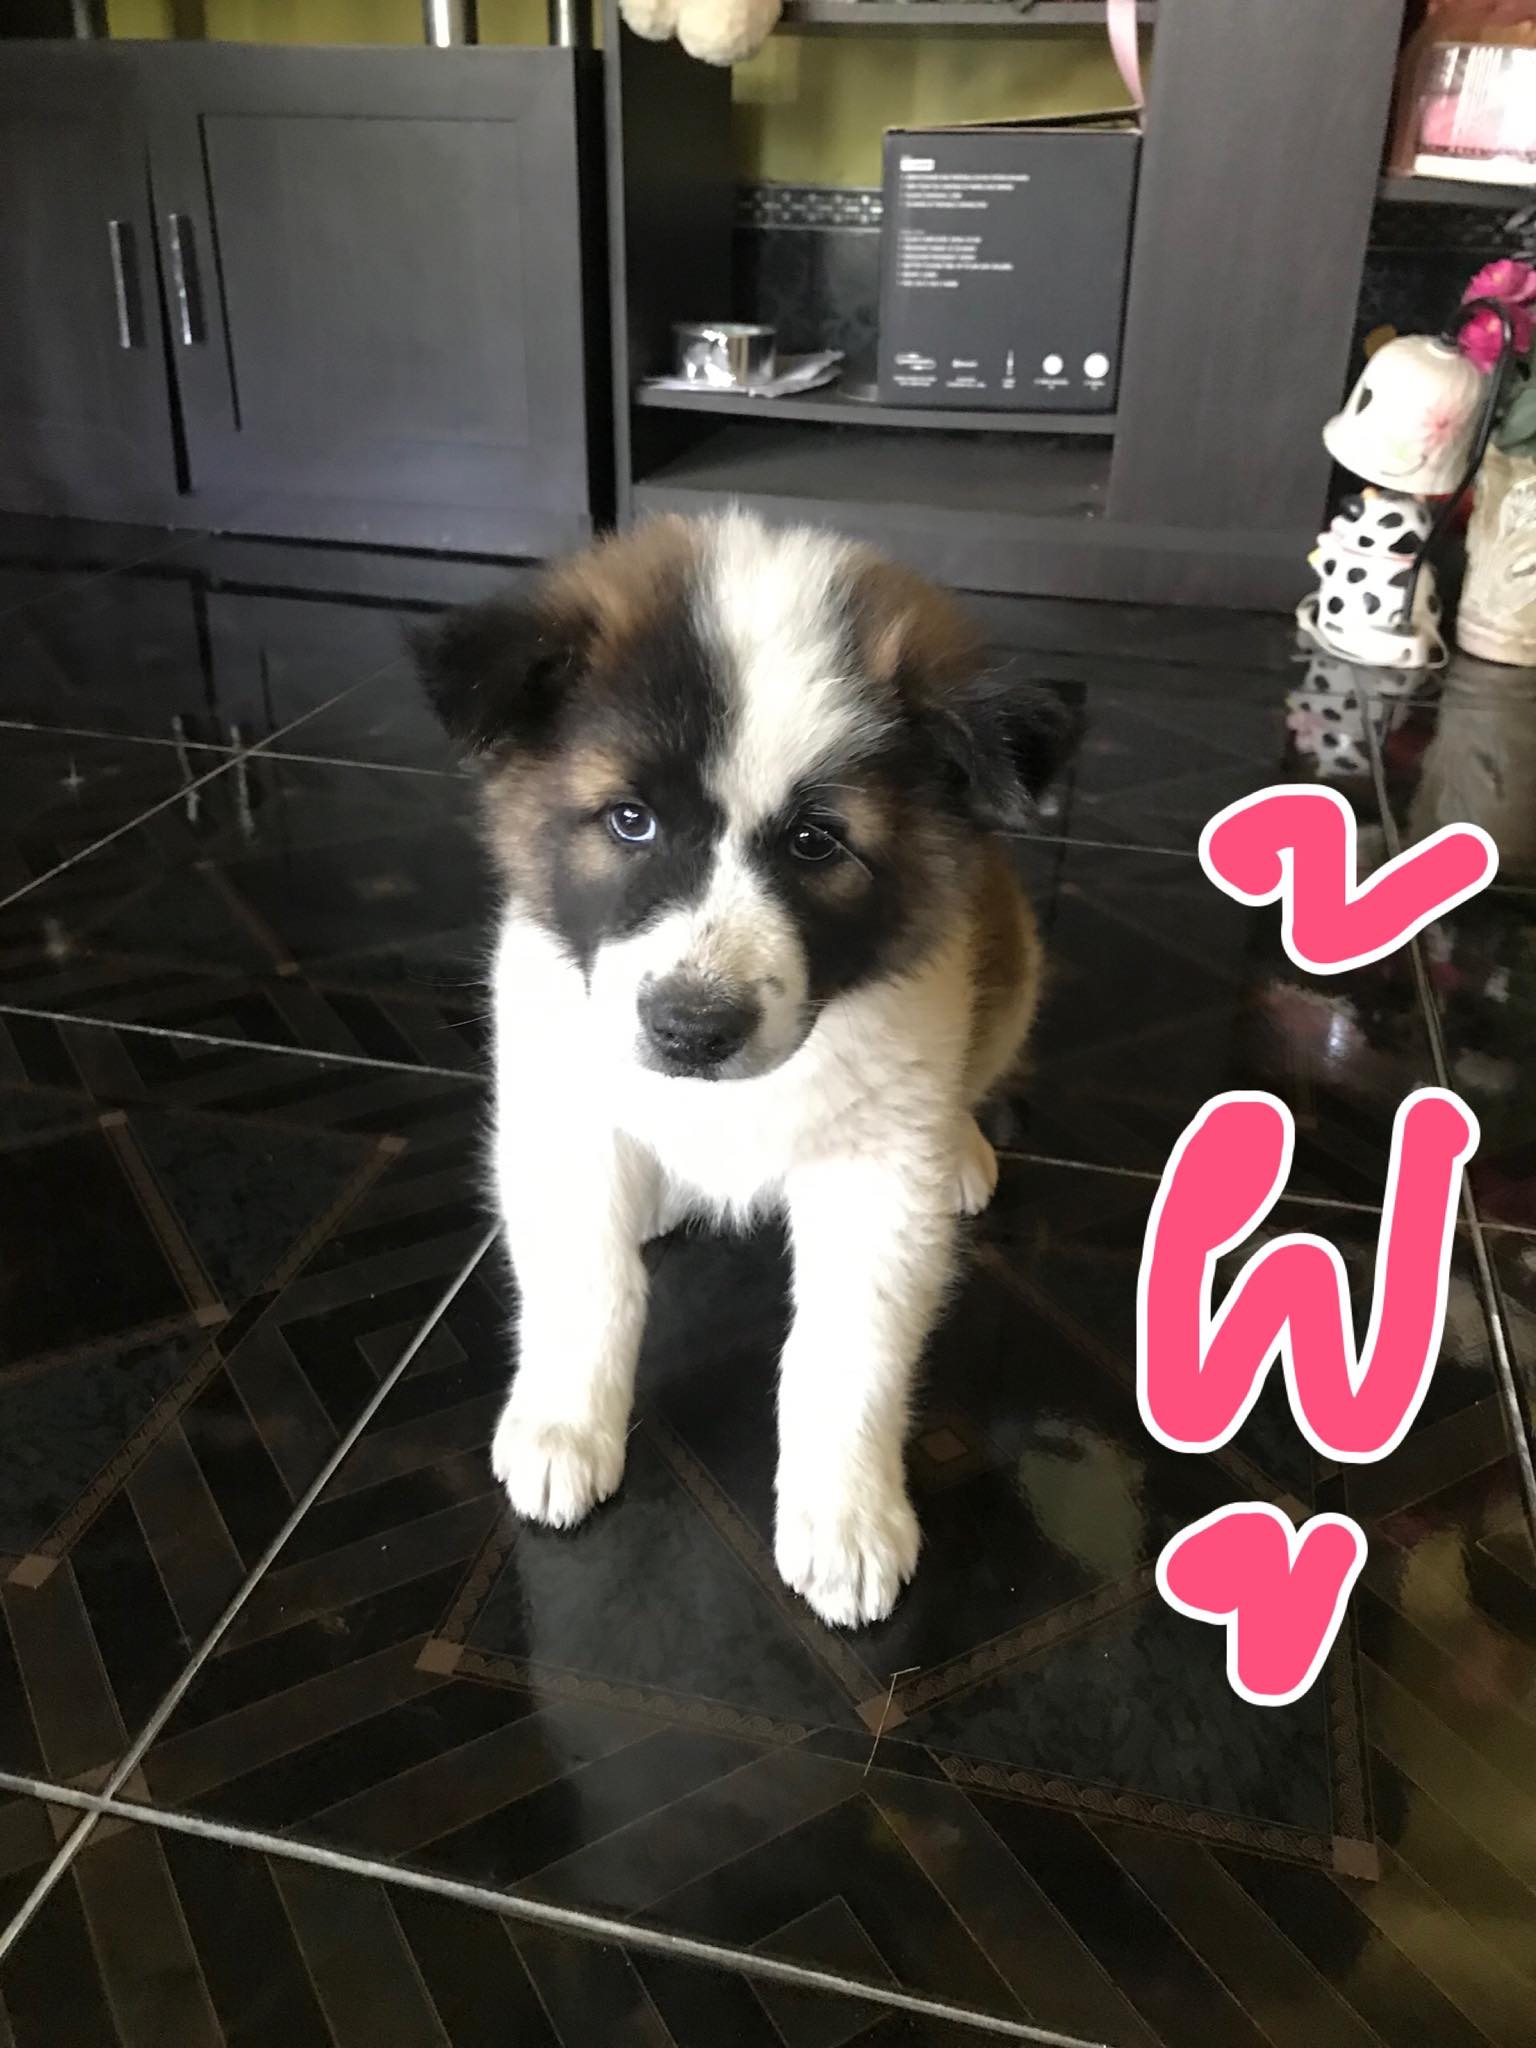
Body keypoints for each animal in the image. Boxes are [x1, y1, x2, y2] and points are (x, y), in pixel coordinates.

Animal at [417, 510, 1068, 1627]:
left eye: (816, 843)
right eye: (629, 819)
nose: (690, 1030)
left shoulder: (873, 1177)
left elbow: (847, 1347)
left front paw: (845, 1513)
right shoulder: (564, 1109)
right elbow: (586, 1282)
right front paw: (566, 1423)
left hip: (1009, 958)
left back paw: (962, 1149)